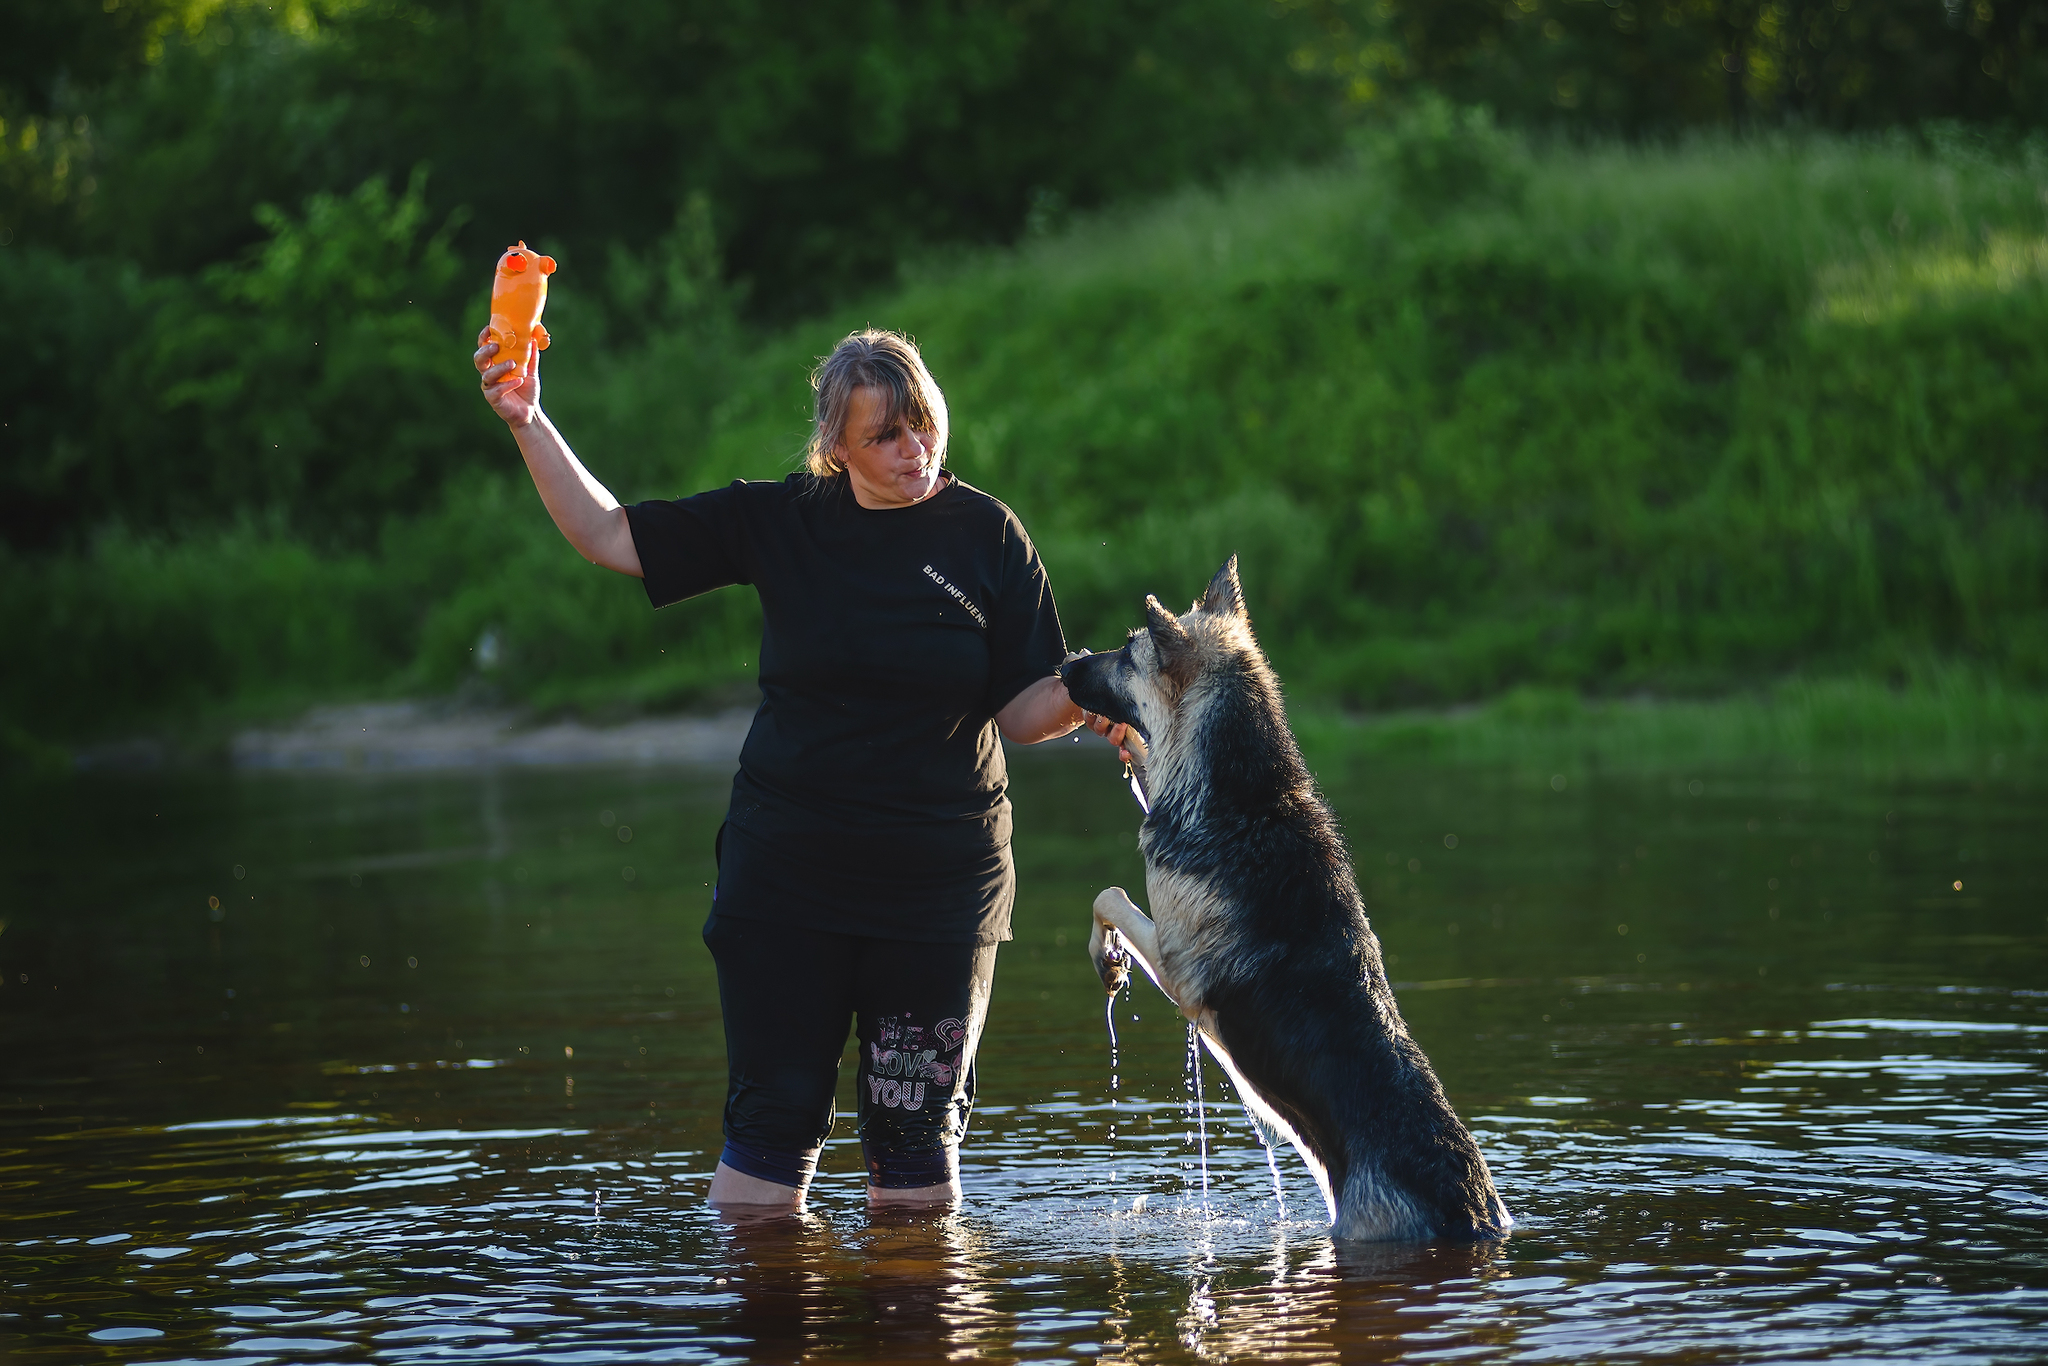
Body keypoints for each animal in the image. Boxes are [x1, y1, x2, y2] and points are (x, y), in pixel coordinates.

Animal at [1064, 561, 1515, 1245]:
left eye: (1124, 651)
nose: (1062, 665)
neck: (1243, 799)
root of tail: (1471, 1216)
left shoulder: (1179, 969)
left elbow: (1108, 896)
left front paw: (1107, 959)